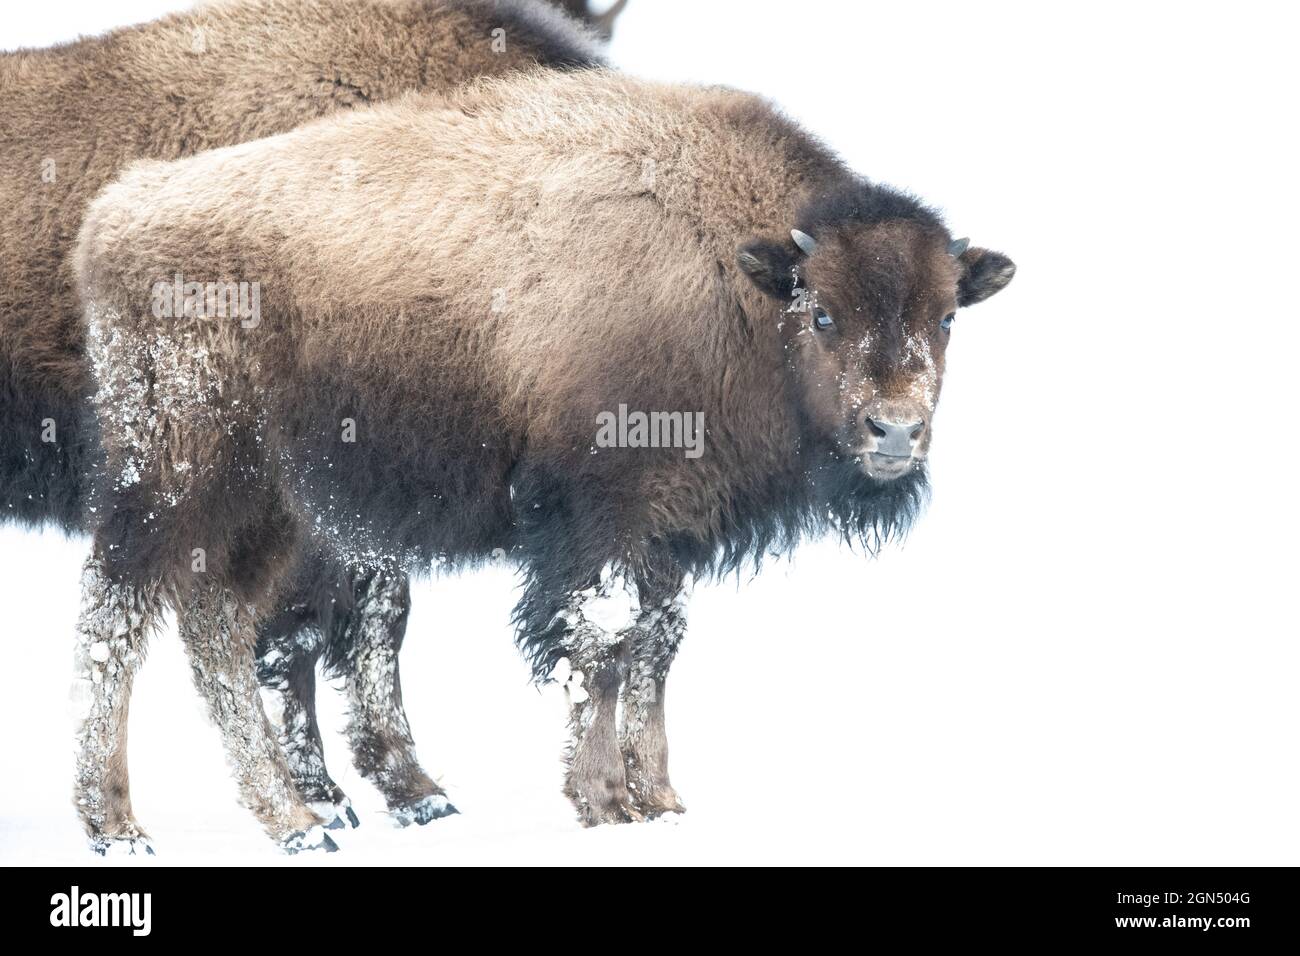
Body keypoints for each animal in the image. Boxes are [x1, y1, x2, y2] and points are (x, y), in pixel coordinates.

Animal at [73, 69, 1013, 853]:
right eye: (821, 314)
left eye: (945, 318)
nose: (894, 432)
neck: (735, 275)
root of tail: (116, 214)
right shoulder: (597, 521)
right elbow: (601, 647)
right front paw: (604, 803)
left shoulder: (667, 532)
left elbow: (657, 648)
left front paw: (661, 801)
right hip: (180, 477)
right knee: (116, 618)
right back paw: (122, 825)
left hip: (274, 506)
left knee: (218, 627)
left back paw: (298, 818)